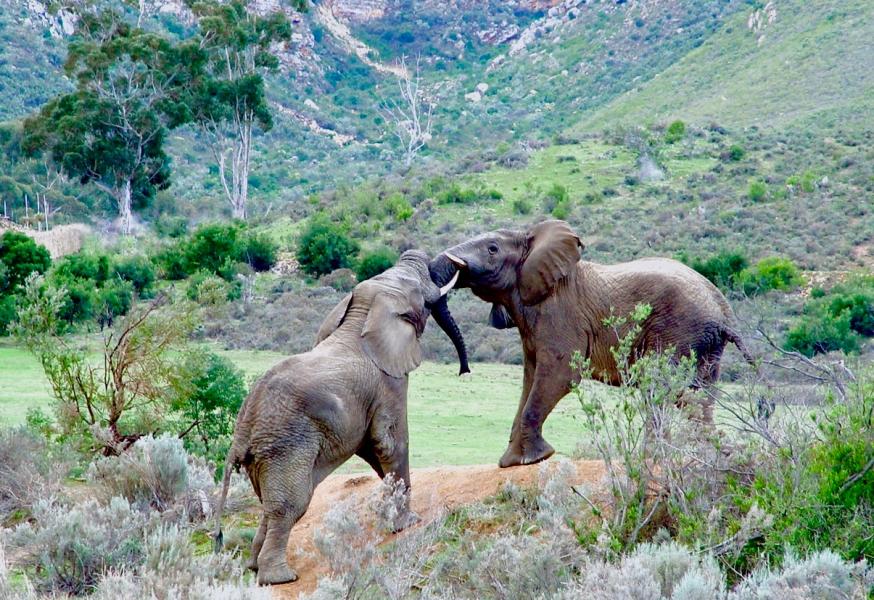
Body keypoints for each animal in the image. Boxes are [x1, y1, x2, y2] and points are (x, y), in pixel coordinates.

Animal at [212, 250, 466, 585]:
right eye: (422, 300)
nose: (417, 253)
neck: (362, 314)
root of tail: (242, 429)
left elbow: (373, 448)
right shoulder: (389, 381)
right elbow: (389, 442)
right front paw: (408, 523)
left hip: (263, 454)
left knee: (270, 504)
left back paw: (254, 567)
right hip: (285, 445)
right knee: (290, 505)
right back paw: (279, 578)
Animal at [429, 220, 756, 469]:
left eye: (492, 248)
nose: (464, 371)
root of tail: (723, 312)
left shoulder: (560, 313)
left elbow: (559, 376)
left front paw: (535, 459)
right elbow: (530, 378)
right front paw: (510, 463)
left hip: (679, 330)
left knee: (662, 390)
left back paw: (653, 458)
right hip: (704, 343)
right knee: (698, 397)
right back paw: (712, 454)